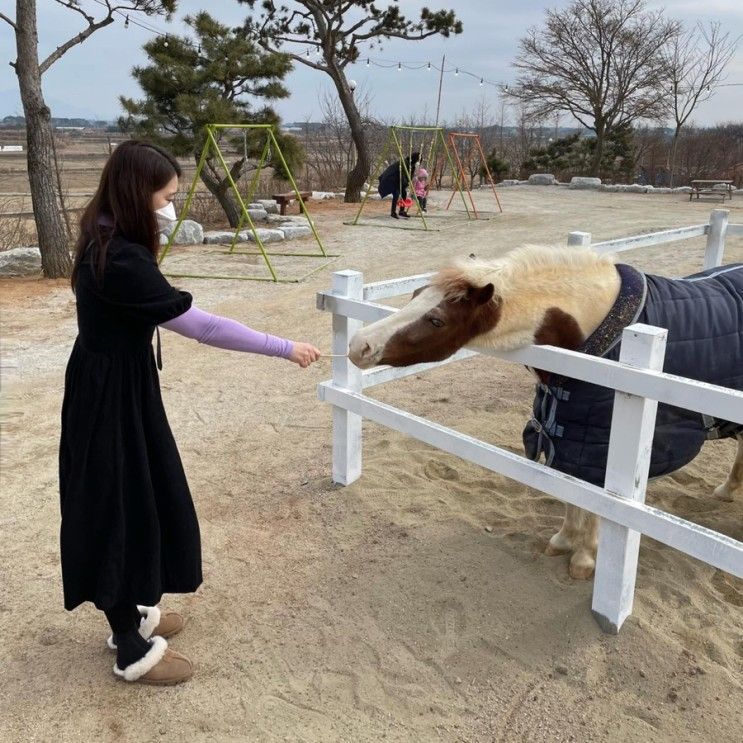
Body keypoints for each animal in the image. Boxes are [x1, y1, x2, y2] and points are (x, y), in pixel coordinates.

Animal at [348, 246, 743, 580]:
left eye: (436, 321)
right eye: (415, 295)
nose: (358, 344)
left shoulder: (602, 449)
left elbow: (597, 504)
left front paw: (585, 558)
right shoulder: (568, 438)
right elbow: (572, 494)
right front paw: (564, 541)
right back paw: (726, 490)